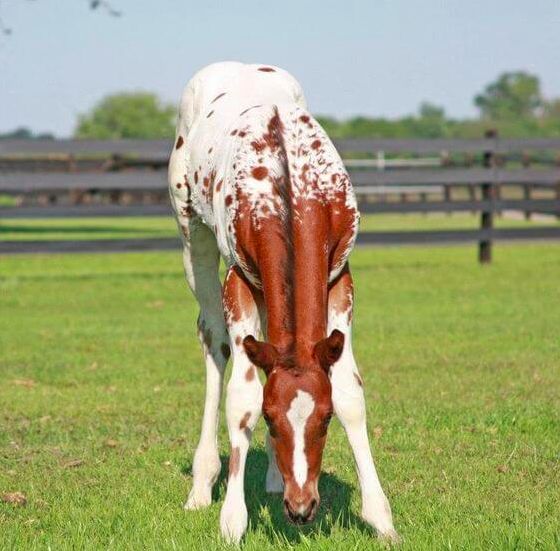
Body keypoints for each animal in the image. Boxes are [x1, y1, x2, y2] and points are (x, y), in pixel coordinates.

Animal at [166, 60, 398, 544]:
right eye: (270, 420)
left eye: (325, 419)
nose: (301, 508)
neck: (290, 191)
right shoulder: (238, 278)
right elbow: (242, 397)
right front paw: (232, 520)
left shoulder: (339, 277)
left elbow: (350, 391)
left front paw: (381, 517)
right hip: (191, 232)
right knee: (214, 341)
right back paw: (203, 482)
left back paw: (273, 478)